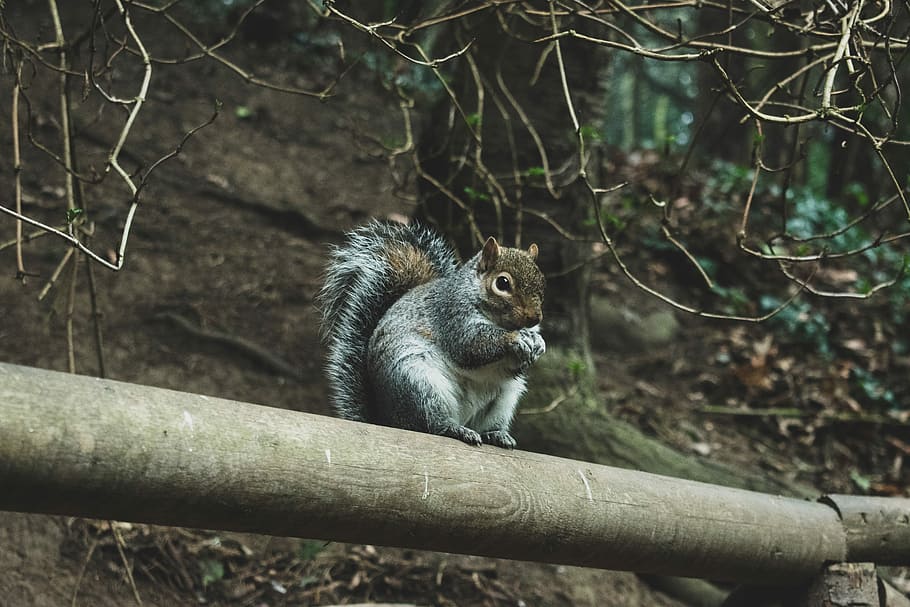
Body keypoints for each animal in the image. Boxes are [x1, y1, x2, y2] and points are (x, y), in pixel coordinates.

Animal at [318, 220, 546, 448]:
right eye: (502, 283)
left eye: (542, 282)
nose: (535, 317)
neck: (501, 322)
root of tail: (388, 420)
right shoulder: (450, 316)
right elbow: (470, 345)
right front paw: (515, 339)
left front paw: (538, 343)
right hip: (418, 385)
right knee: (431, 424)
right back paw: (455, 429)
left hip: (504, 400)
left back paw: (496, 435)